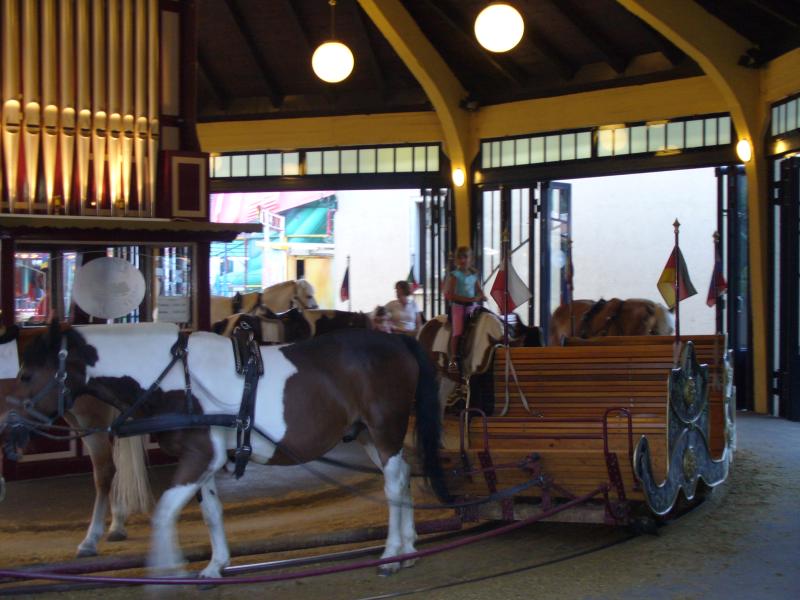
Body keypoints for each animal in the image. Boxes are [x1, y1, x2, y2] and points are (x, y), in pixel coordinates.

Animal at [0, 321, 449, 578]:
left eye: (25, 374)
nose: (7, 428)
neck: (173, 375)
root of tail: (398, 341)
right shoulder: (205, 462)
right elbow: (211, 513)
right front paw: (216, 566)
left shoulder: (200, 457)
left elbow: (165, 510)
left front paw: (168, 571)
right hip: (370, 435)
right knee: (402, 478)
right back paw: (409, 548)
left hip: (386, 429)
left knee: (393, 486)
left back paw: (392, 553)